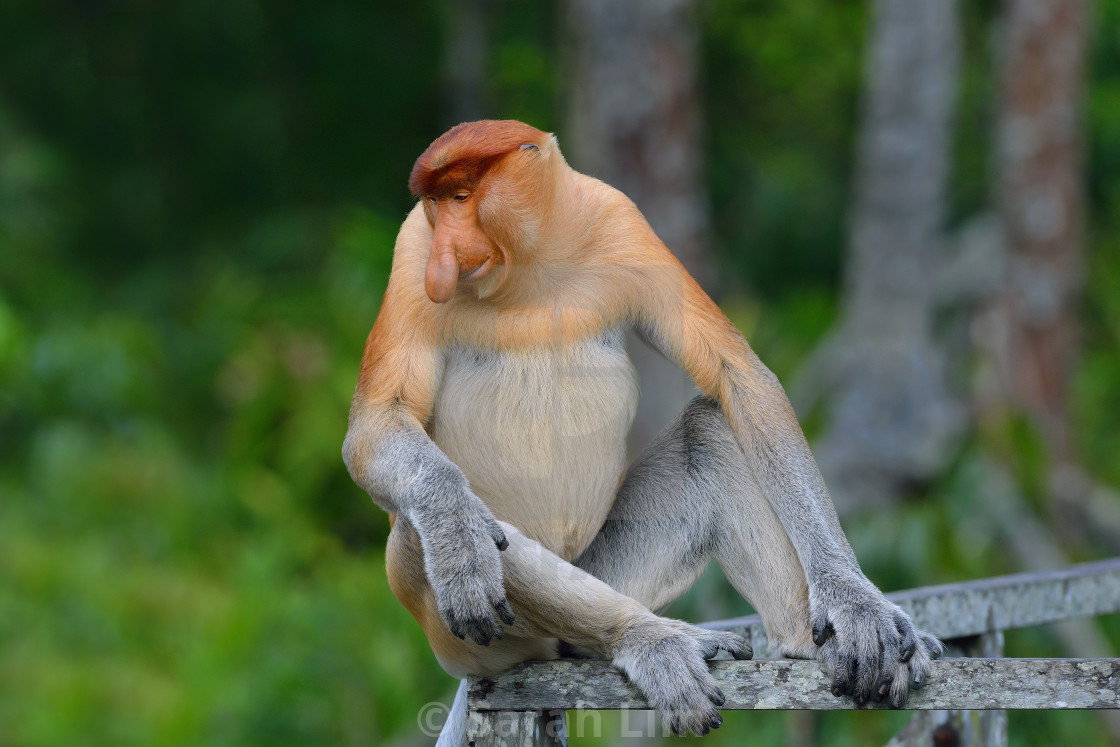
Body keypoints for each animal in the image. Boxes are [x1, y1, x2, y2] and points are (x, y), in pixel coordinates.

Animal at [344, 119, 940, 739]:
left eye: (461, 197)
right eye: (434, 207)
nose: (446, 255)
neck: (530, 264)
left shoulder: (621, 220)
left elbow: (736, 375)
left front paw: (856, 605)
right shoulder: (412, 250)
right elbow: (377, 424)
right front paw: (456, 533)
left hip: (610, 570)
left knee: (710, 430)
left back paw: (806, 639)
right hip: (473, 634)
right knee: (415, 535)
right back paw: (650, 639)